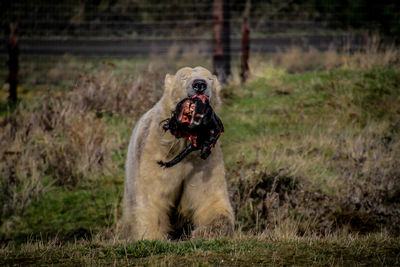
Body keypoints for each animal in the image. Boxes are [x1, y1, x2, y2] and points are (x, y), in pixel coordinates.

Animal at [122, 66, 234, 241]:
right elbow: (152, 198)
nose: (199, 84)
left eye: (209, 78)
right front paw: (152, 237)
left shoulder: (204, 163)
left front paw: (203, 233)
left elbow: (209, 199)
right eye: (184, 77)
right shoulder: (155, 152)